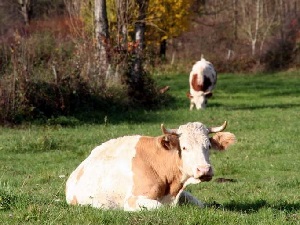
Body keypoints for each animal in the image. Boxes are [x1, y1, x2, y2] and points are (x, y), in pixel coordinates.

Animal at [66, 121, 237, 211]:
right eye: (184, 147)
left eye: (208, 146)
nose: (204, 170)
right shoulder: (133, 200)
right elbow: (161, 207)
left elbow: (201, 204)